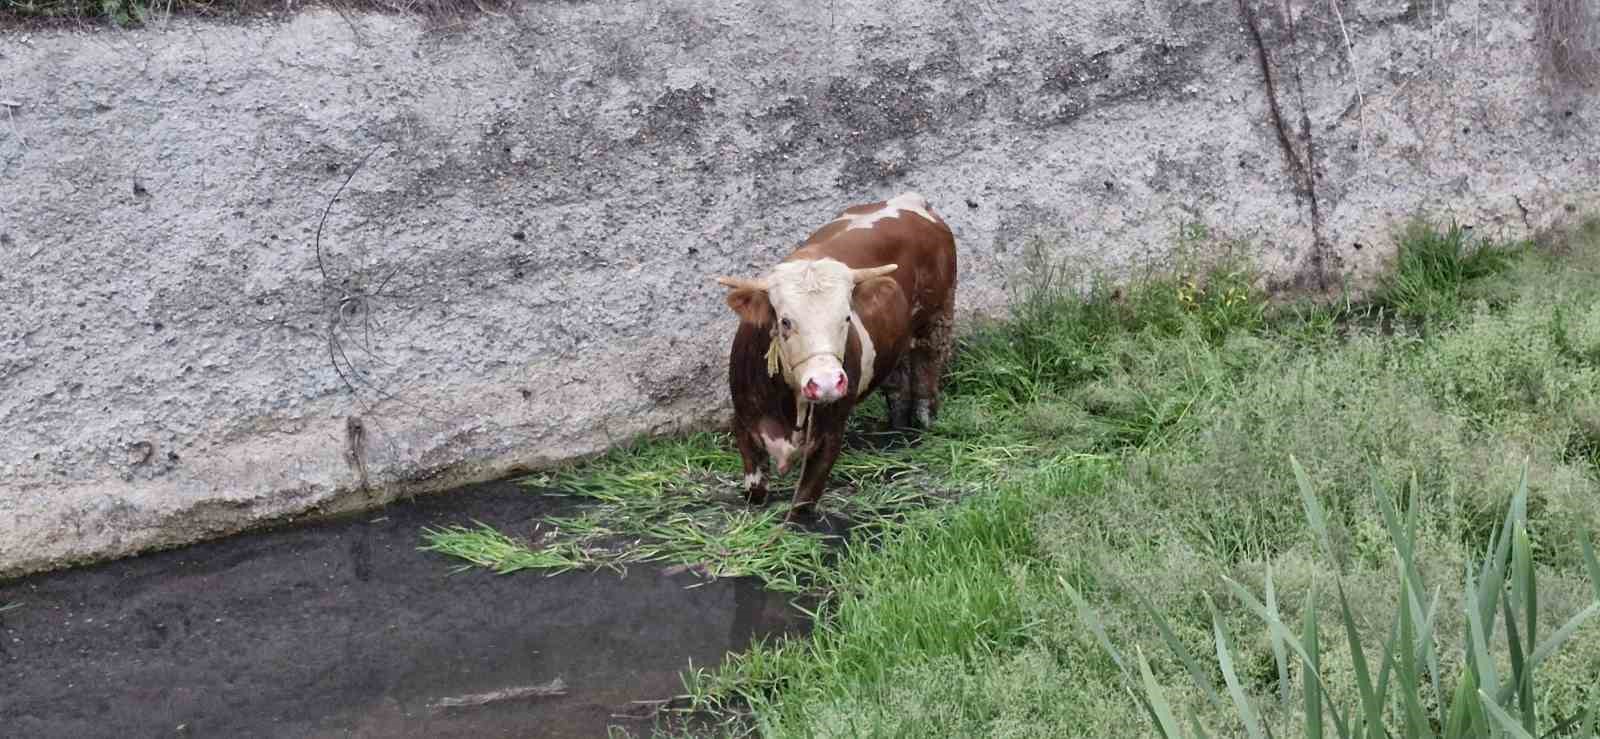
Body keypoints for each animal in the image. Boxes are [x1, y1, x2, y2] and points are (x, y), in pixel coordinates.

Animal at [716, 193, 960, 521]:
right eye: (785, 321)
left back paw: (923, 422)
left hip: (937, 319)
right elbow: (755, 492)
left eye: (846, 317)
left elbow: (802, 505)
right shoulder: (743, 424)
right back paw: (895, 431)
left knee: (926, 372)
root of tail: (909, 200)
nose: (827, 383)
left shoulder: (830, 435)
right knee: (897, 383)